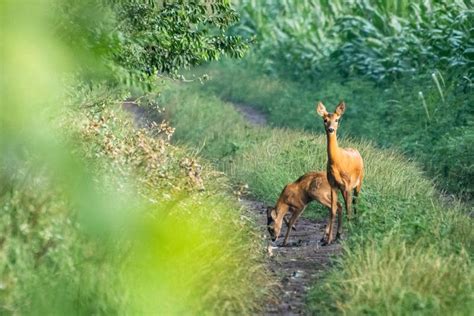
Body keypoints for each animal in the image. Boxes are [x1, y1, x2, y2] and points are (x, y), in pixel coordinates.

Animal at [316, 100, 364, 244]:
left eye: (337, 119)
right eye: (325, 120)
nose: (331, 129)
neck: (337, 163)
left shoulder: (347, 183)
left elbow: (348, 207)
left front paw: (347, 232)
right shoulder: (333, 184)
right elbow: (333, 210)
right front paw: (328, 239)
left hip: (359, 181)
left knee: (354, 202)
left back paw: (354, 223)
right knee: (345, 205)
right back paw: (338, 233)